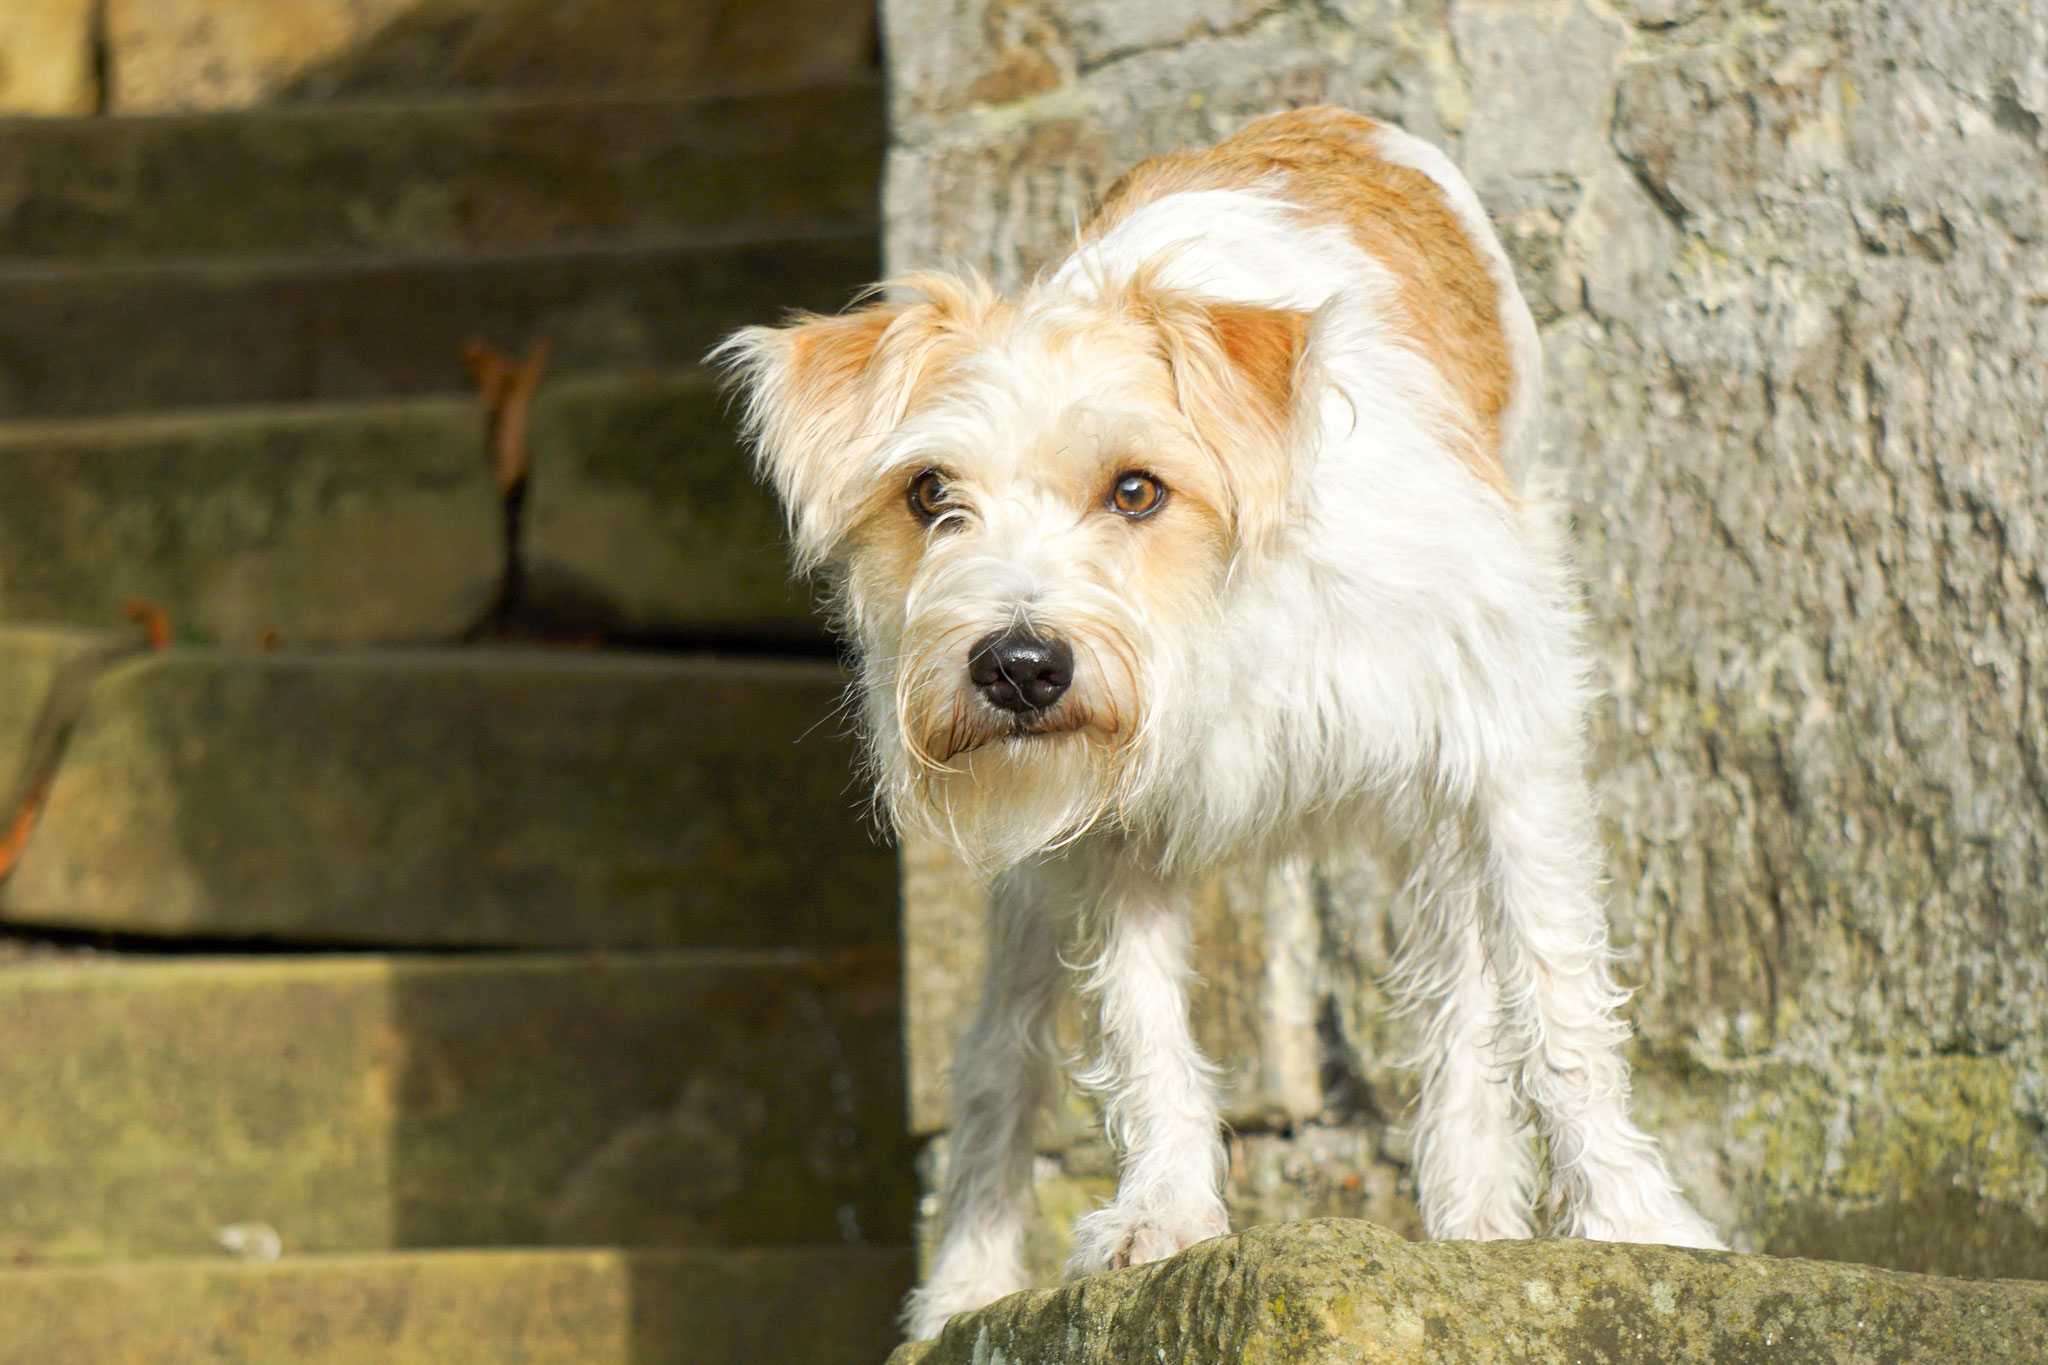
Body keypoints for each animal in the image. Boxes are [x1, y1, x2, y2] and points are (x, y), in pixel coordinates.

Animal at [712, 109, 1720, 1342]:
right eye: (928, 493)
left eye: (1137, 490)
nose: (1018, 667)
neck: (1217, 614)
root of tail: (1329, 115)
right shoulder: (1105, 832)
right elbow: (1143, 1033)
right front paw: (1162, 1213)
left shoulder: (1501, 744)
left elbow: (1555, 998)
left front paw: (1634, 1218)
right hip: (1026, 890)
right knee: (999, 1057)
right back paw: (962, 1288)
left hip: (1440, 819)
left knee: (1461, 995)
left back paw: (1473, 1214)